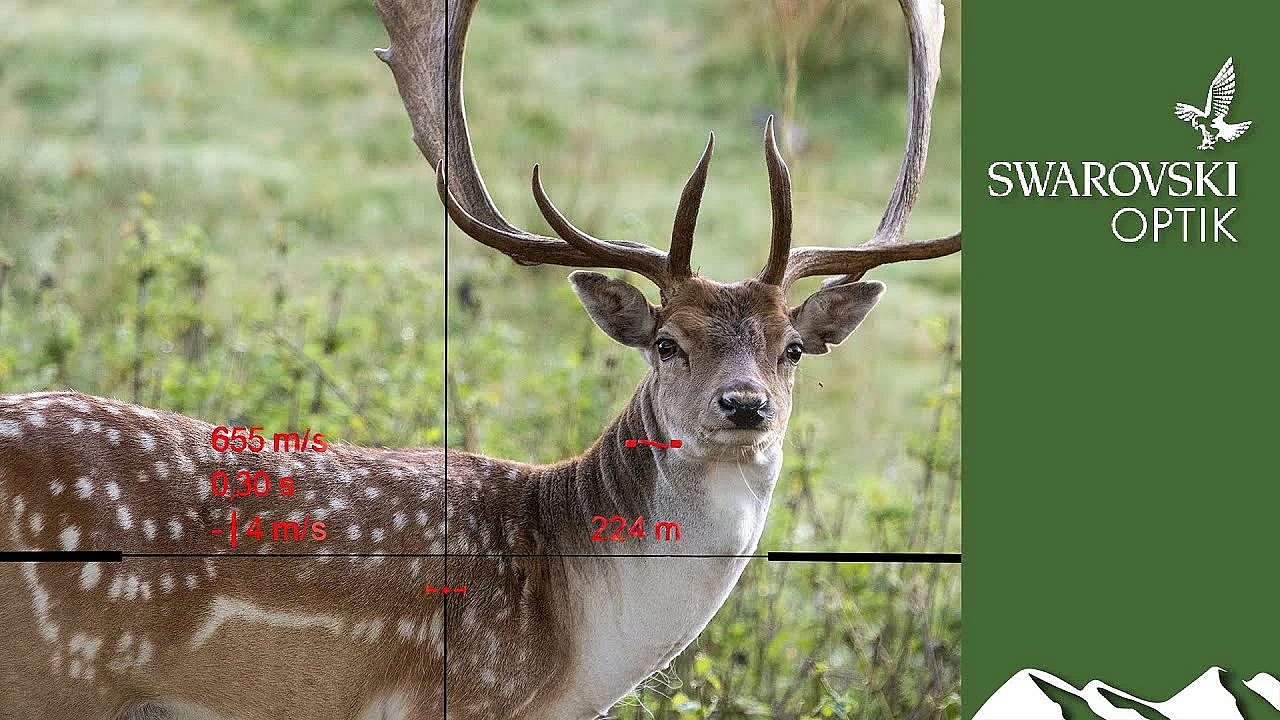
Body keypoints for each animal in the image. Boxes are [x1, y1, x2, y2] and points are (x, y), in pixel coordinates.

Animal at [0, 0, 958, 717]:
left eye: (791, 347)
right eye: (667, 344)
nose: (744, 404)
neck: (573, 661)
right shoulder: (459, 696)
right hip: (56, 678)